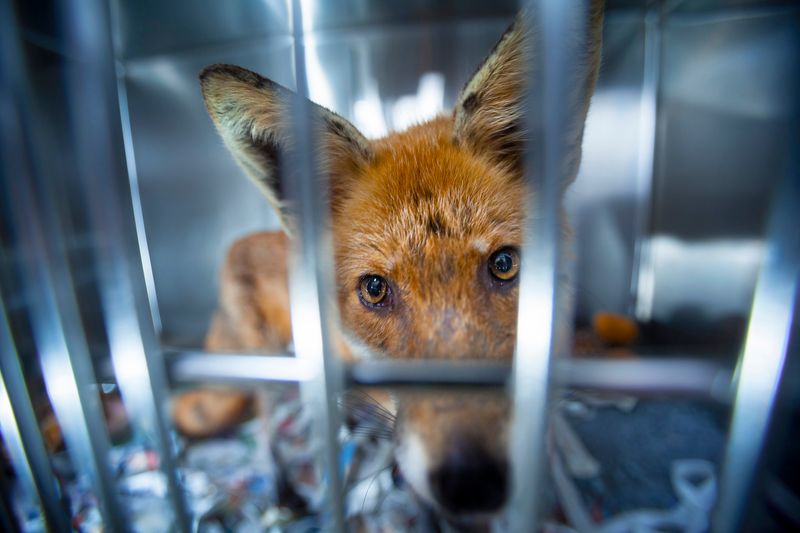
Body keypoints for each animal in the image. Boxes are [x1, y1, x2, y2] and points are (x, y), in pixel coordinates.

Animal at [174, 1, 604, 525]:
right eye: (375, 289)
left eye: (504, 264)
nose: (473, 482)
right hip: (270, 369)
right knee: (264, 426)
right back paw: (283, 487)